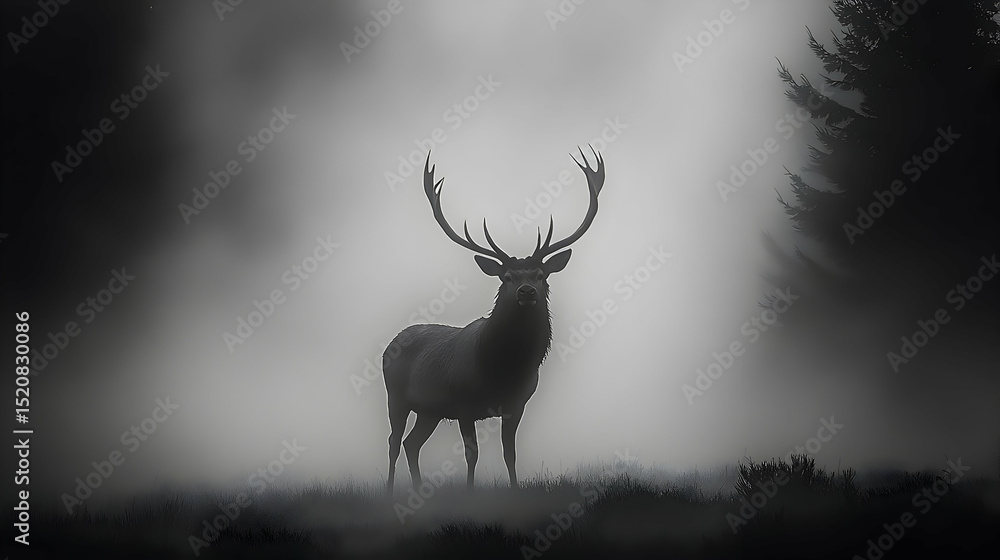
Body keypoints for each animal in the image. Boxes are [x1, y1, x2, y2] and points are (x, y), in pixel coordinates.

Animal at [383, 147, 605, 492]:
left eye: (541, 275)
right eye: (507, 277)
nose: (526, 291)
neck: (501, 369)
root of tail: (387, 346)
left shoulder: (516, 405)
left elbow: (509, 454)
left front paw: (514, 491)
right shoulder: (463, 405)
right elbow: (471, 455)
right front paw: (470, 494)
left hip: (430, 411)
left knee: (411, 443)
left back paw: (418, 489)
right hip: (396, 395)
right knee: (394, 441)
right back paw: (390, 490)